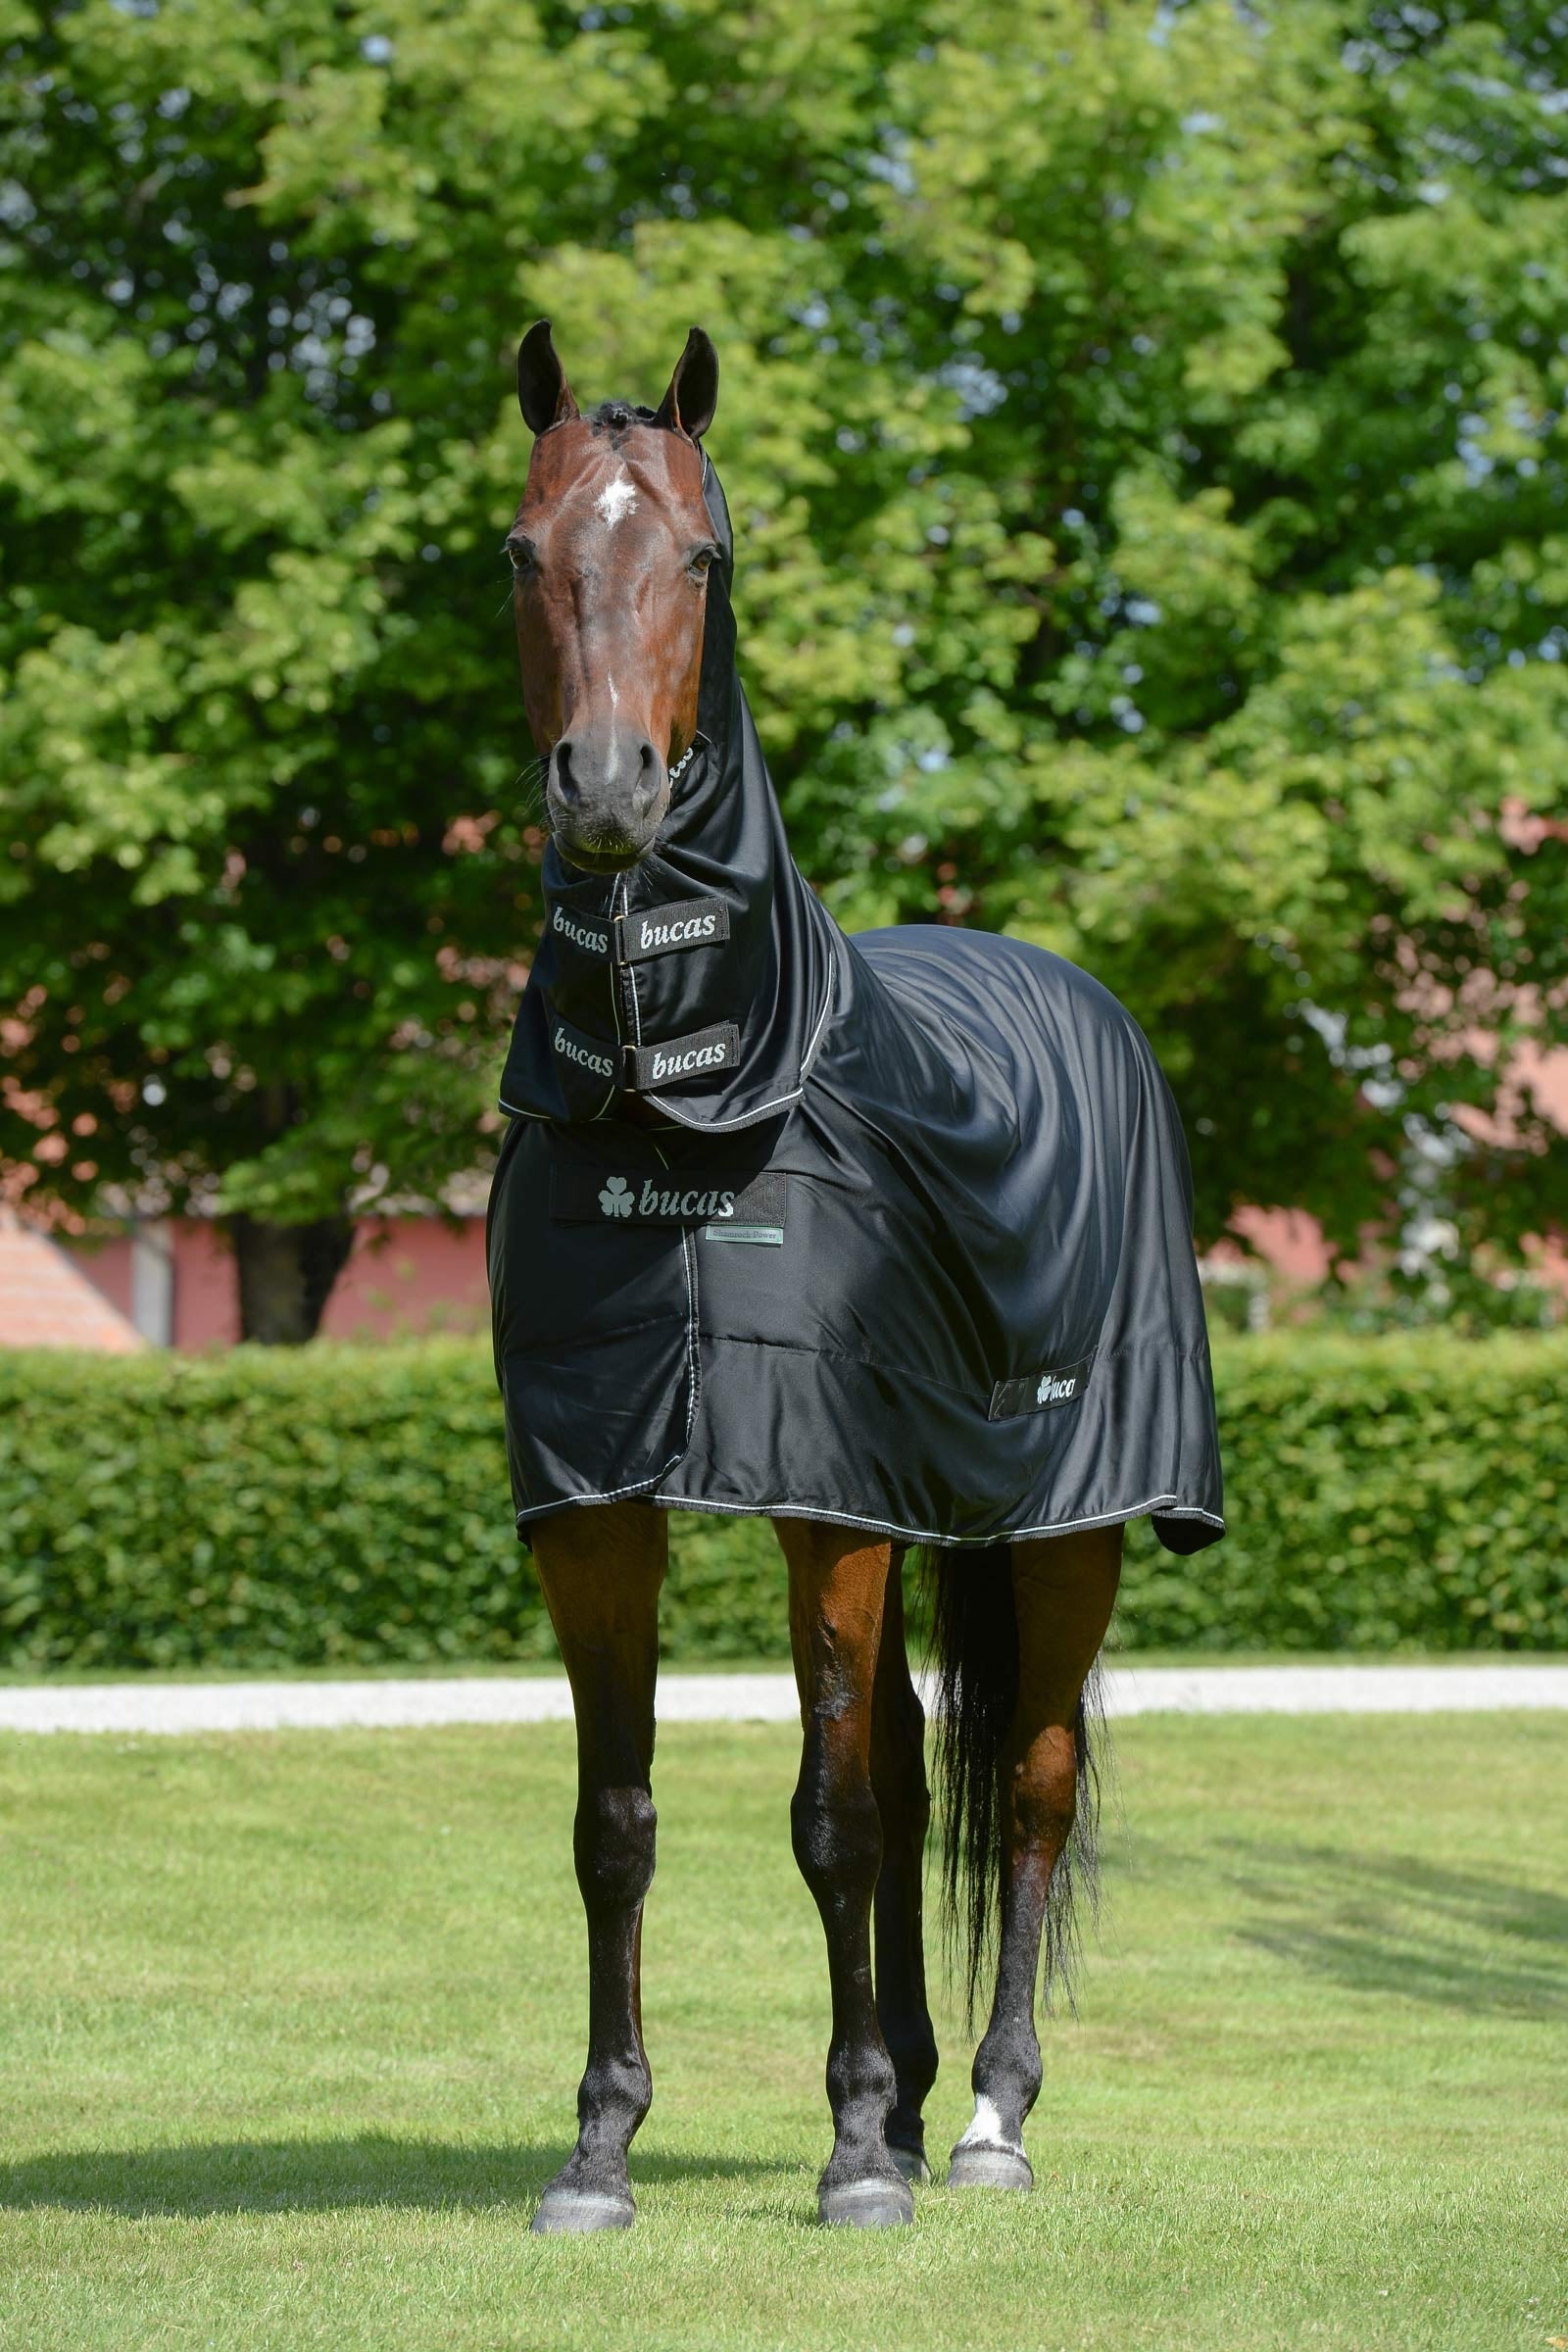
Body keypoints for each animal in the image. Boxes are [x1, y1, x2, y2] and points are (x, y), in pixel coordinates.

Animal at [487, 322, 1224, 2233]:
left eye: (703, 556)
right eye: (524, 554)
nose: (609, 791)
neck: (689, 1097)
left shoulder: (823, 1501)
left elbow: (831, 1815)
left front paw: (851, 2159)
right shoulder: (603, 1500)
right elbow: (619, 1821)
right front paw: (601, 2147)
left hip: (1065, 1527)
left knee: (1023, 1790)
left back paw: (981, 2120)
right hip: (917, 1508)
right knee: (906, 1760)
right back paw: (905, 2096)